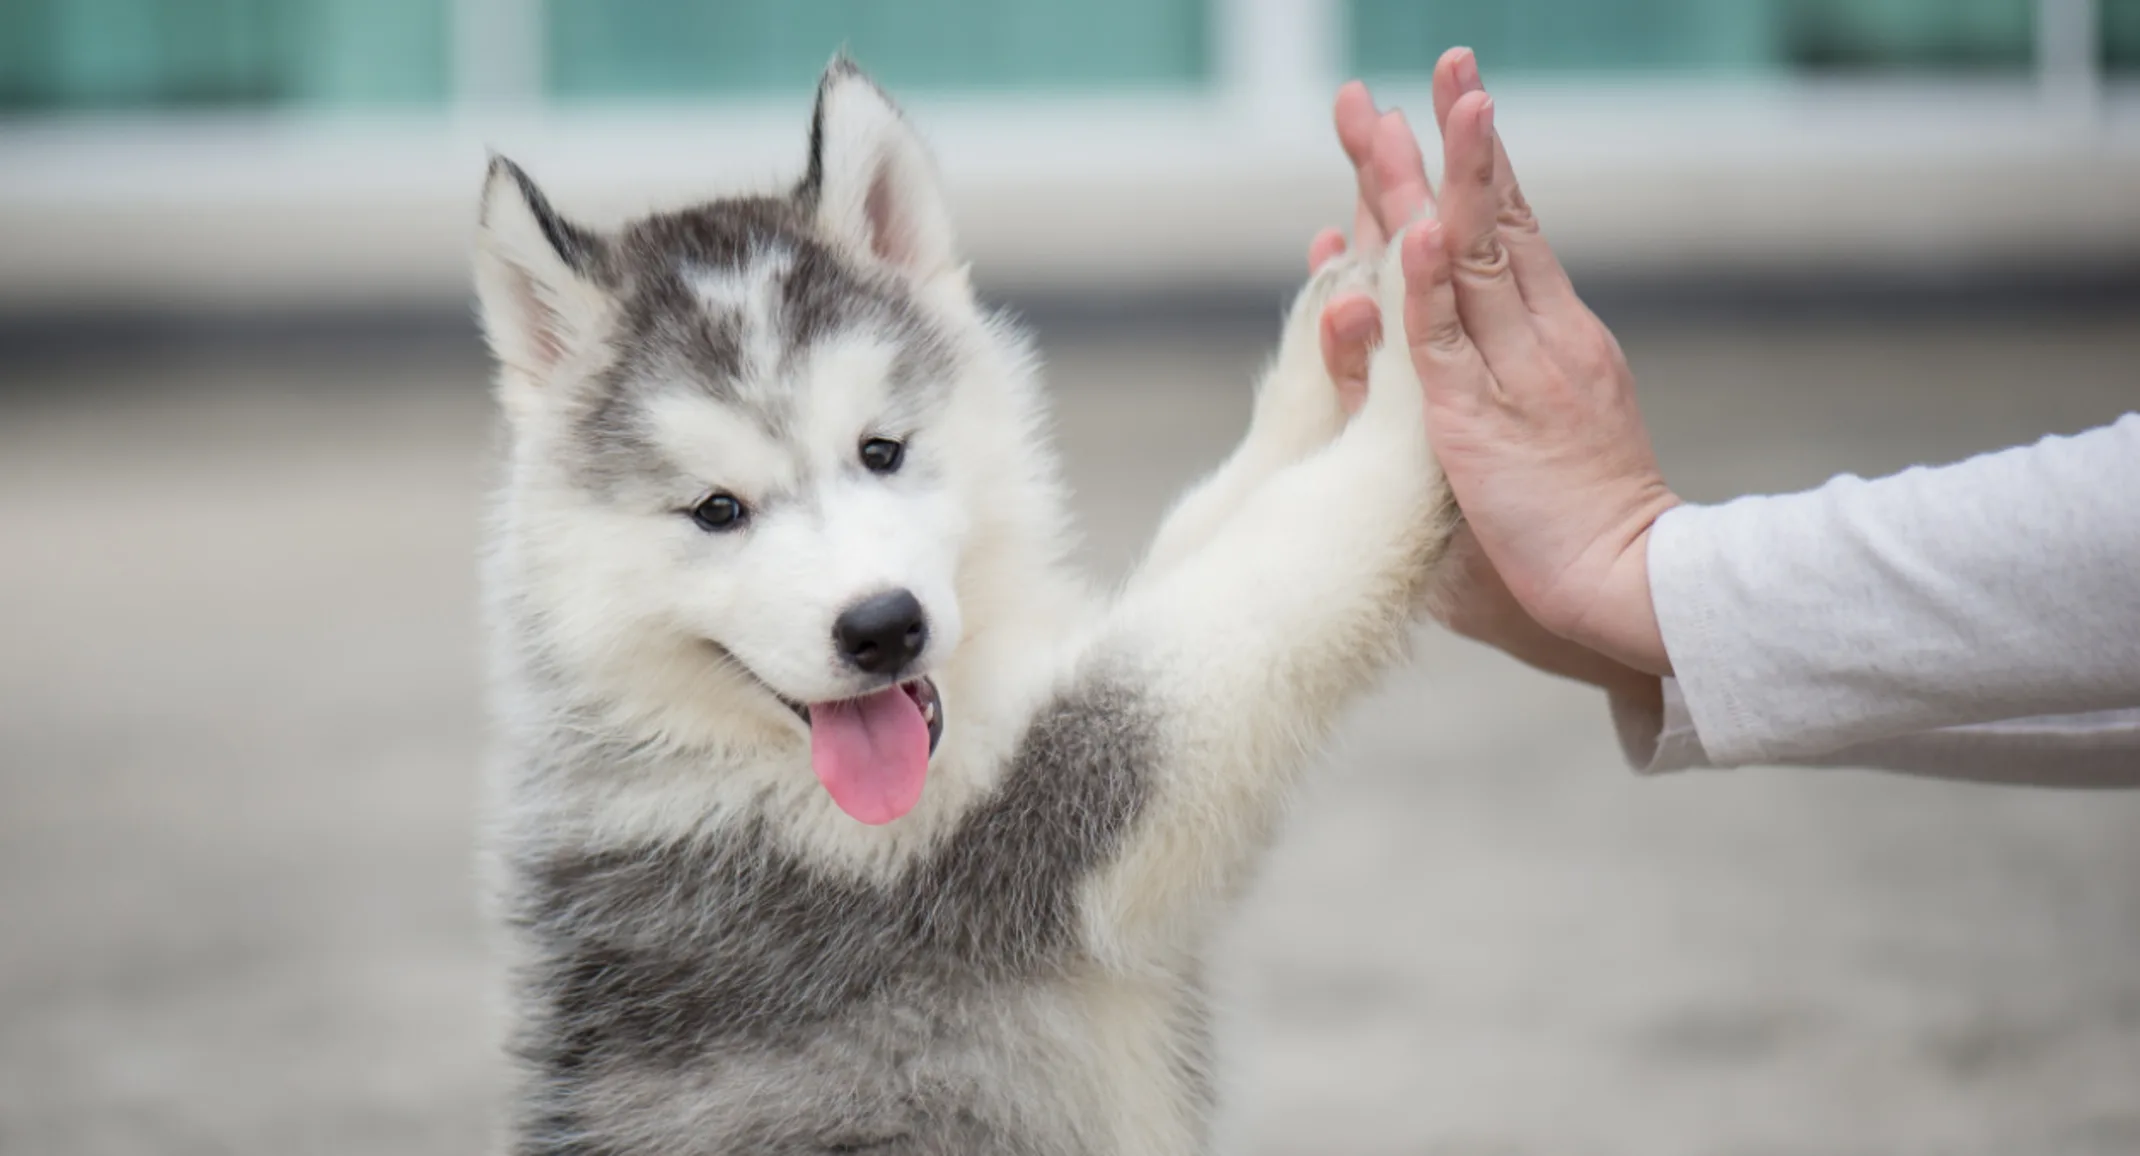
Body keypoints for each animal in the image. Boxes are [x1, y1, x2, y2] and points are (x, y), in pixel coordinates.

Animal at [479, 61, 1463, 1156]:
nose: (881, 627)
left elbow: (1218, 526)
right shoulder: (1031, 825)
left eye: (881, 450)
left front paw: (1334, 345)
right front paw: (1427, 357)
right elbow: (1271, 570)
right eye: (717, 510)